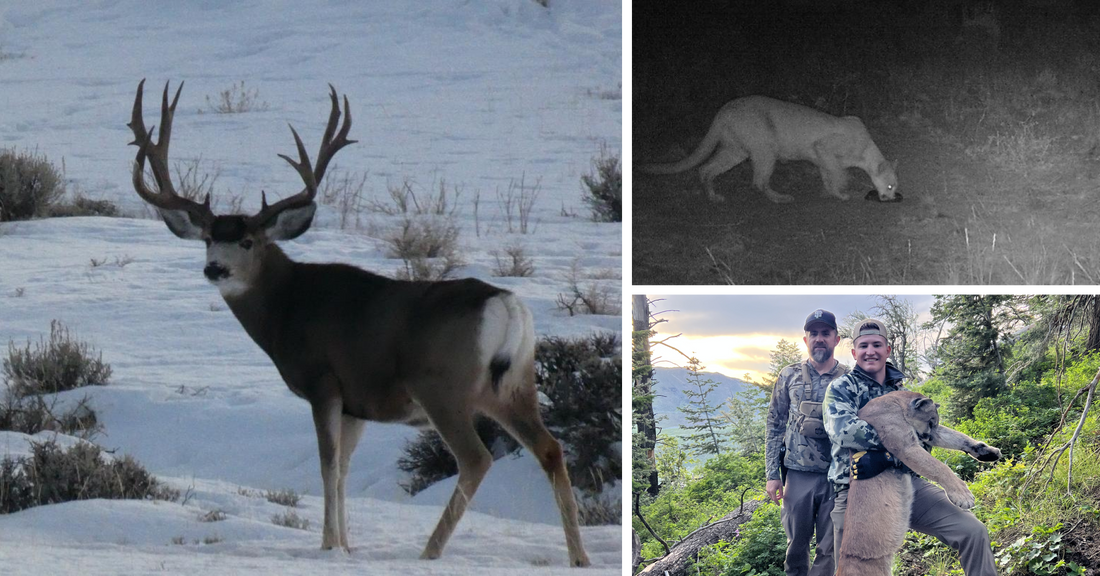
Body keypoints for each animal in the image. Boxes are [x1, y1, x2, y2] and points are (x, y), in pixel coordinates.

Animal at [126, 79, 590, 567]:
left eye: (248, 241)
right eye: (209, 239)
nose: (215, 269)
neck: (286, 307)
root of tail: (507, 305)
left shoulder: (323, 381)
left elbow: (328, 465)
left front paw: (328, 545)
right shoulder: (356, 404)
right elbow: (345, 469)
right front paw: (347, 545)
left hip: (441, 386)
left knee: (476, 459)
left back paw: (429, 551)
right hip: (515, 385)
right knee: (550, 448)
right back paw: (579, 557)